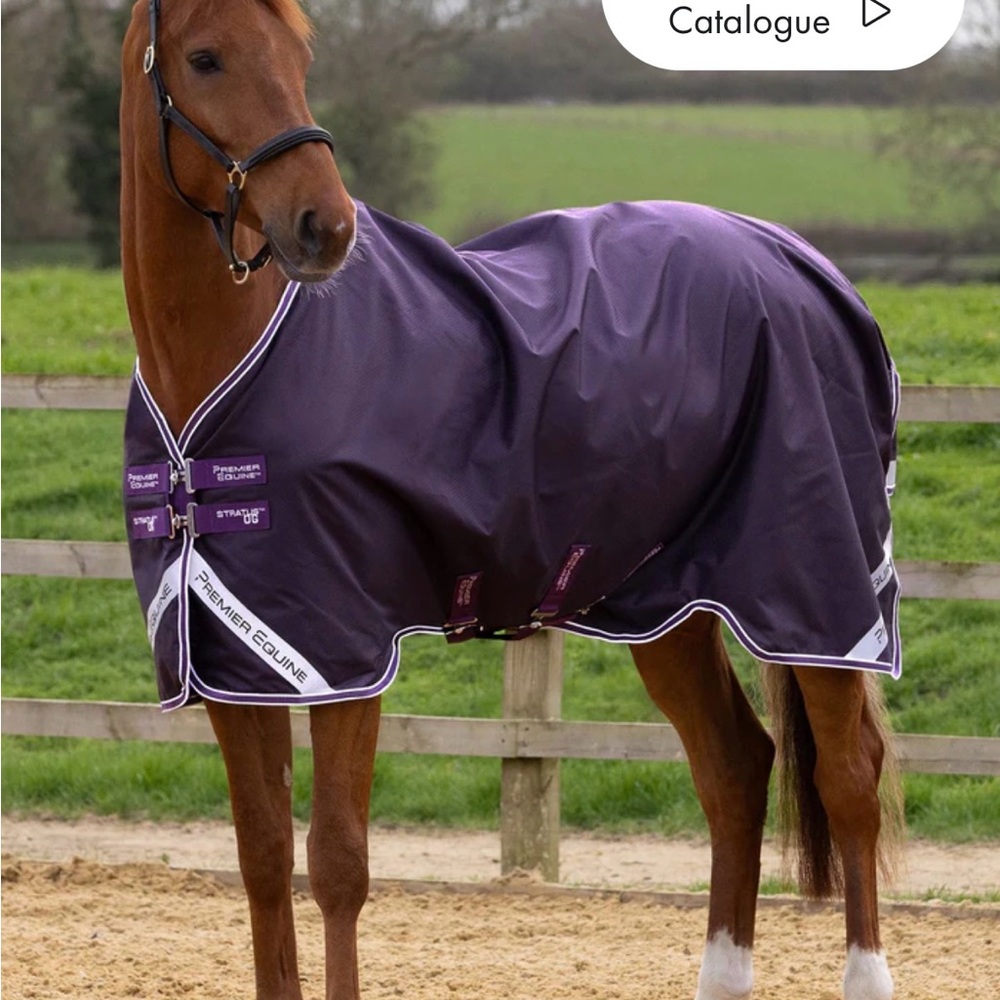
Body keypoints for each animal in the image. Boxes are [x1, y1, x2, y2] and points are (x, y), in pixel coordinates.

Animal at [119, 2, 904, 998]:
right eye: (206, 57)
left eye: (301, 56)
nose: (323, 226)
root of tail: (800, 262)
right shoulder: (234, 660)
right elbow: (261, 859)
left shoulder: (344, 652)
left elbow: (337, 864)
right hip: (670, 603)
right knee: (735, 767)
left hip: (816, 590)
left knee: (849, 777)